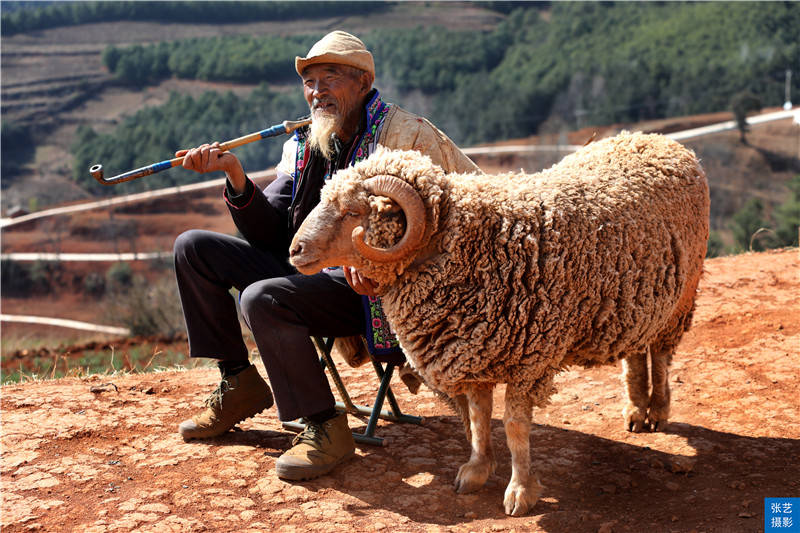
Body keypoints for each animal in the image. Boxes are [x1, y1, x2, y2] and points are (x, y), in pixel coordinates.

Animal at [286, 132, 708, 516]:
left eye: (353, 212)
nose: (294, 250)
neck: (476, 246)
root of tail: (655, 139)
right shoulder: (473, 351)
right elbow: (478, 419)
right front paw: (476, 470)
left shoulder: (529, 361)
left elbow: (515, 427)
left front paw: (520, 491)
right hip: (638, 302)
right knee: (636, 353)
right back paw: (636, 410)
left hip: (682, 296)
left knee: (662, 355)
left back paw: (658, 410)